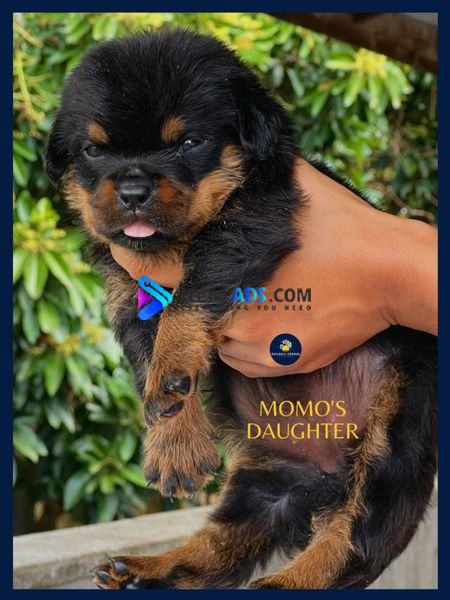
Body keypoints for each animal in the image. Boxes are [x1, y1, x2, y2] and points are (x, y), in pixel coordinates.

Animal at [45, 28, 437, 589]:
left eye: (189, 143)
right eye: (93, 150)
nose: (133, 191)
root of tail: (325, 475)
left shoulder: (251, 227)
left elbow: (188, 301)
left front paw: (171, 373)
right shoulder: (126, 289)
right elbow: (150, 369)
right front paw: (175, 441)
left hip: (393, 437)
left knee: (354, 538)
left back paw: (290, 582)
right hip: (267, 479)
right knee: (219, 545)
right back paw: (143, 570)